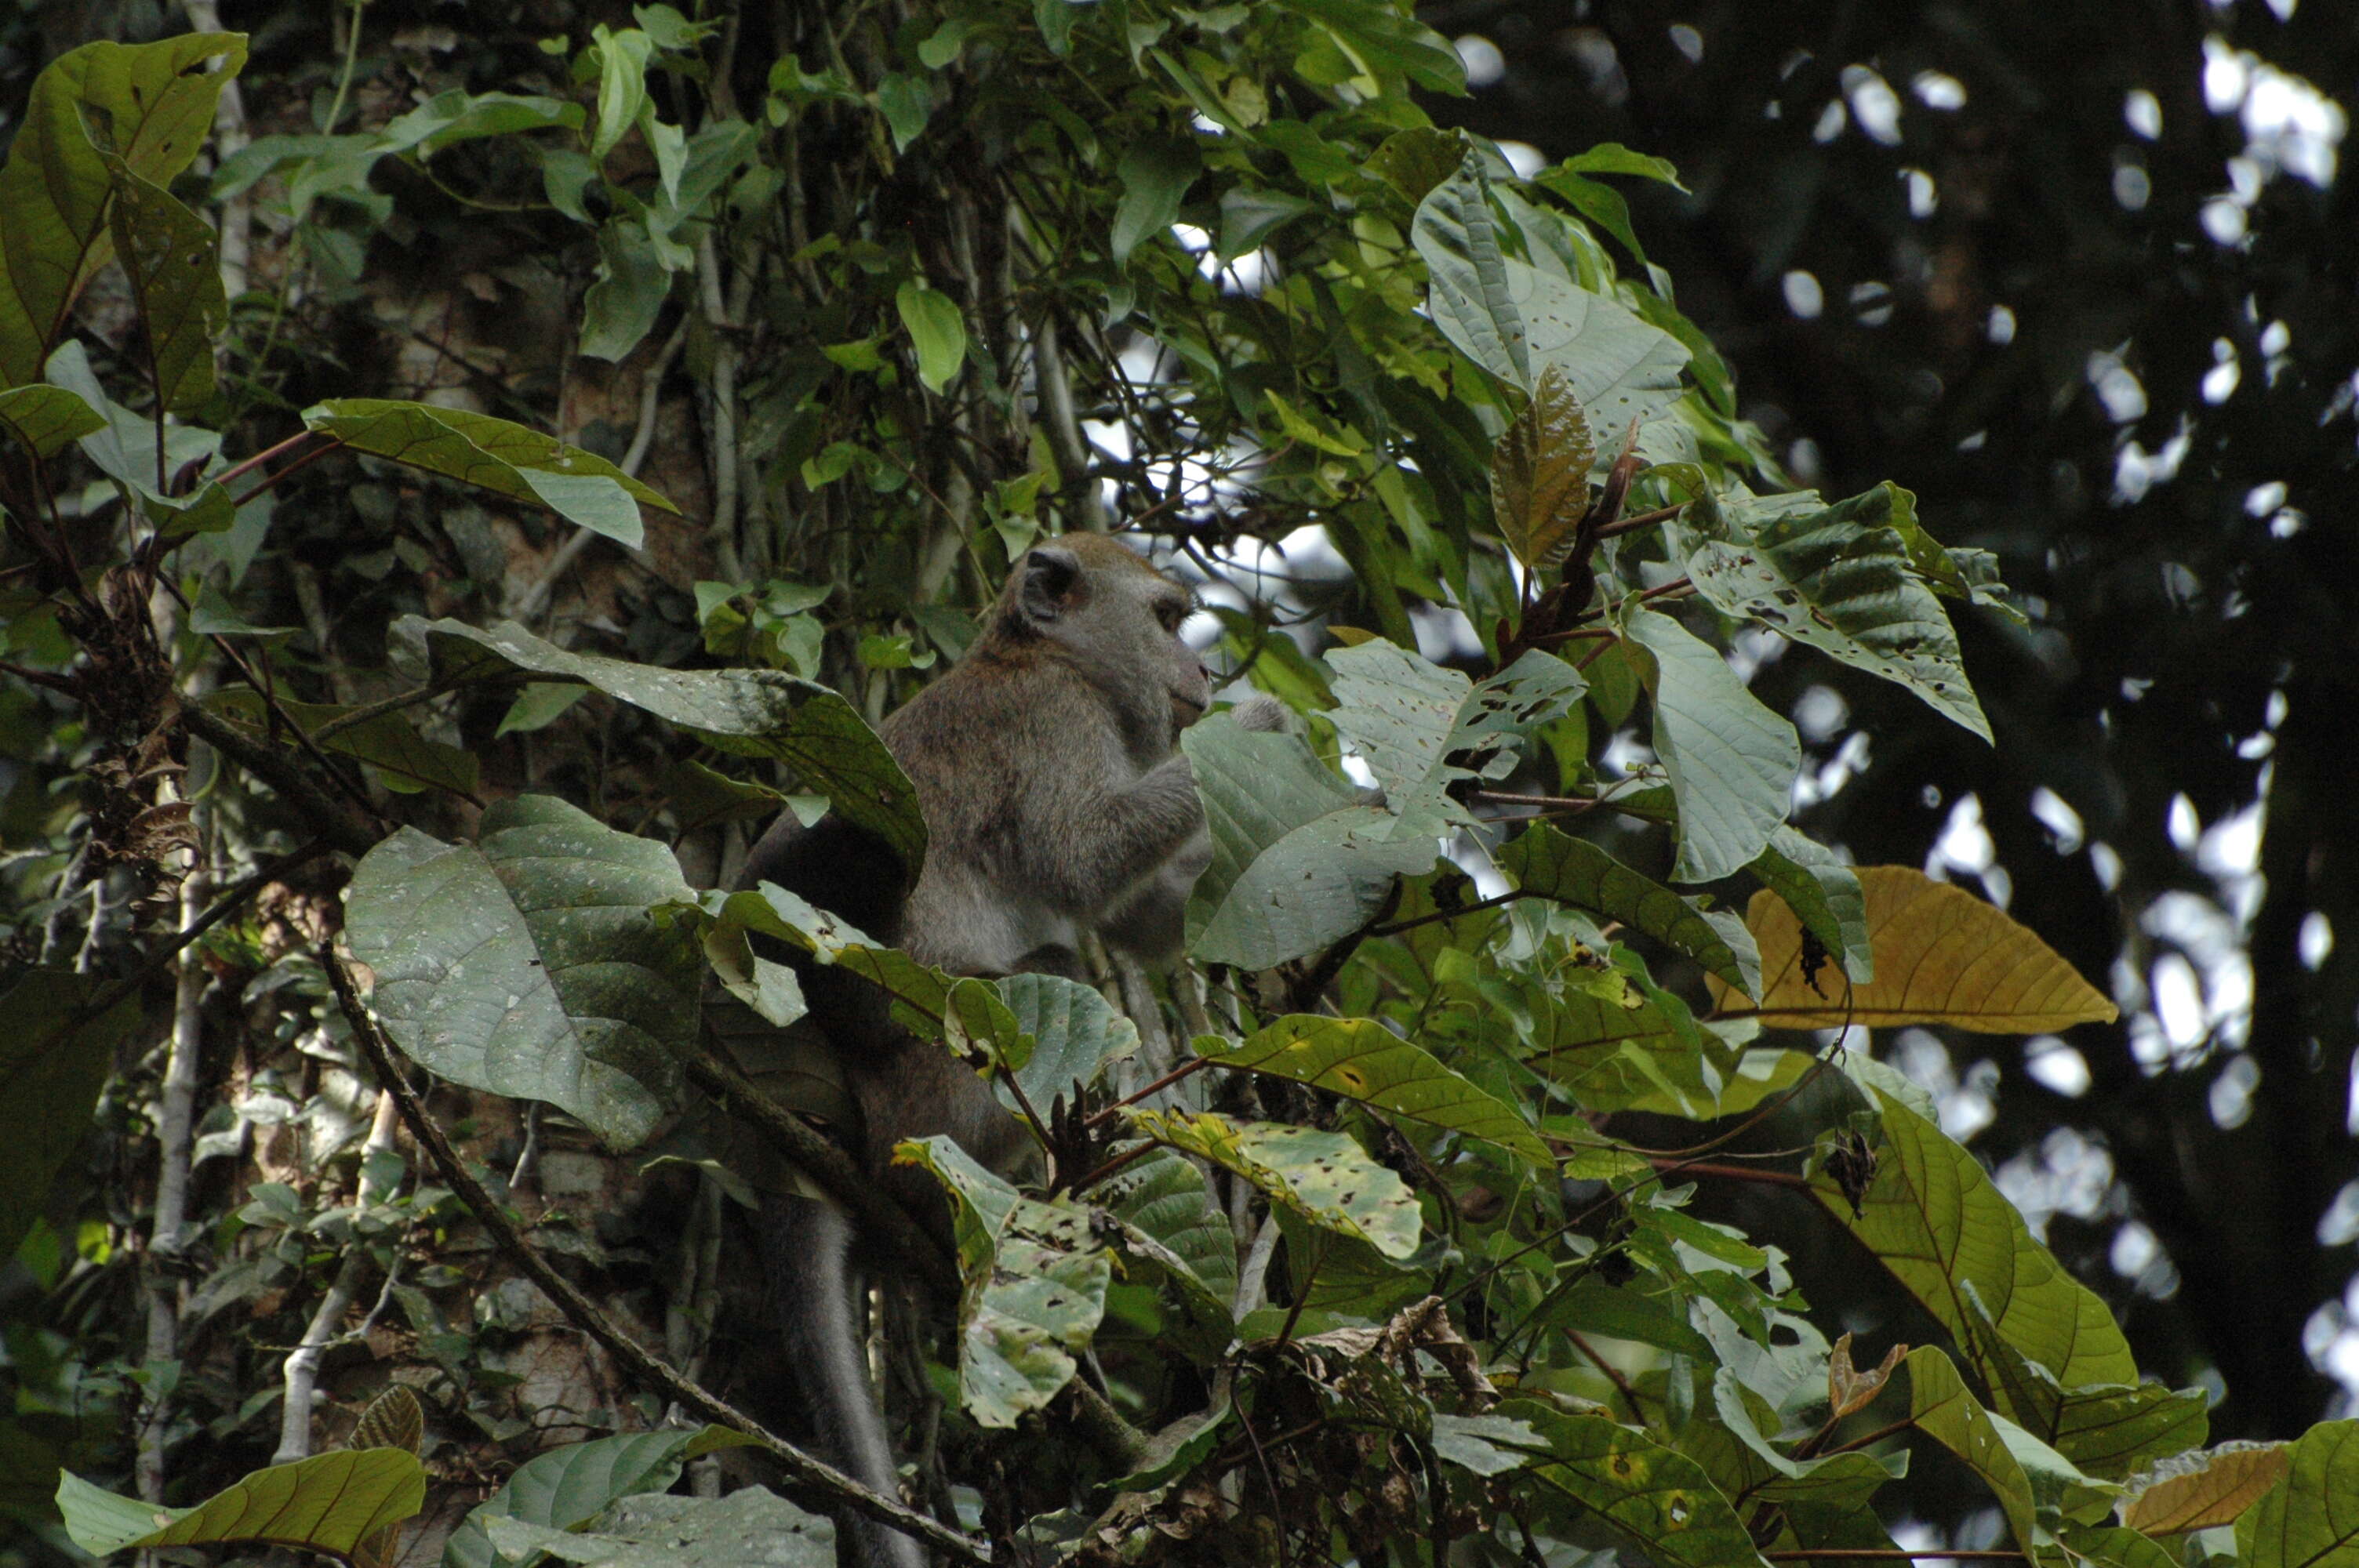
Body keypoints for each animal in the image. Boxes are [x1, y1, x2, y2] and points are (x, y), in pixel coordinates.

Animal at [736, 532, 1292, 1555]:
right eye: (1166, 618)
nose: (1202, 671)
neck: (1044, 656)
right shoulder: (1052, 723)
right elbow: (1079, 855)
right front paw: (1264, 724)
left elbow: (1149, 919)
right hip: (930, 1092)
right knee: (1059, 972)